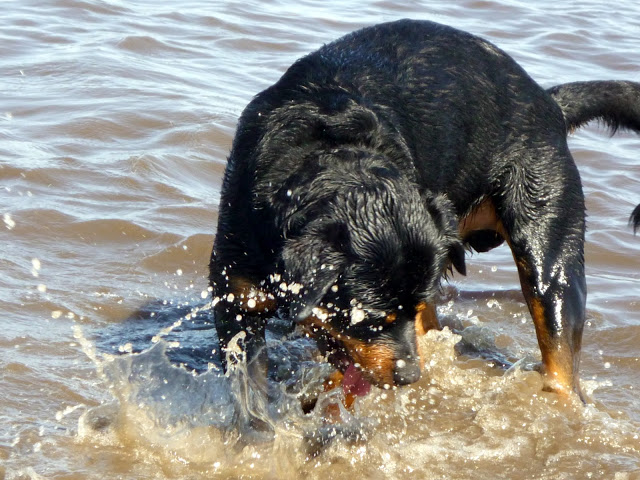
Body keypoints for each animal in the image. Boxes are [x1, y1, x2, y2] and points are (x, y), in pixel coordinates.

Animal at [209, 19, 636, 402]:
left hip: (546, 241)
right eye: (370, 318)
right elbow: (249, 389)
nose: (408, 376)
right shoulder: (235, 296)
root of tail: (549, 102)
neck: (322, 148)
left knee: (559, 345)